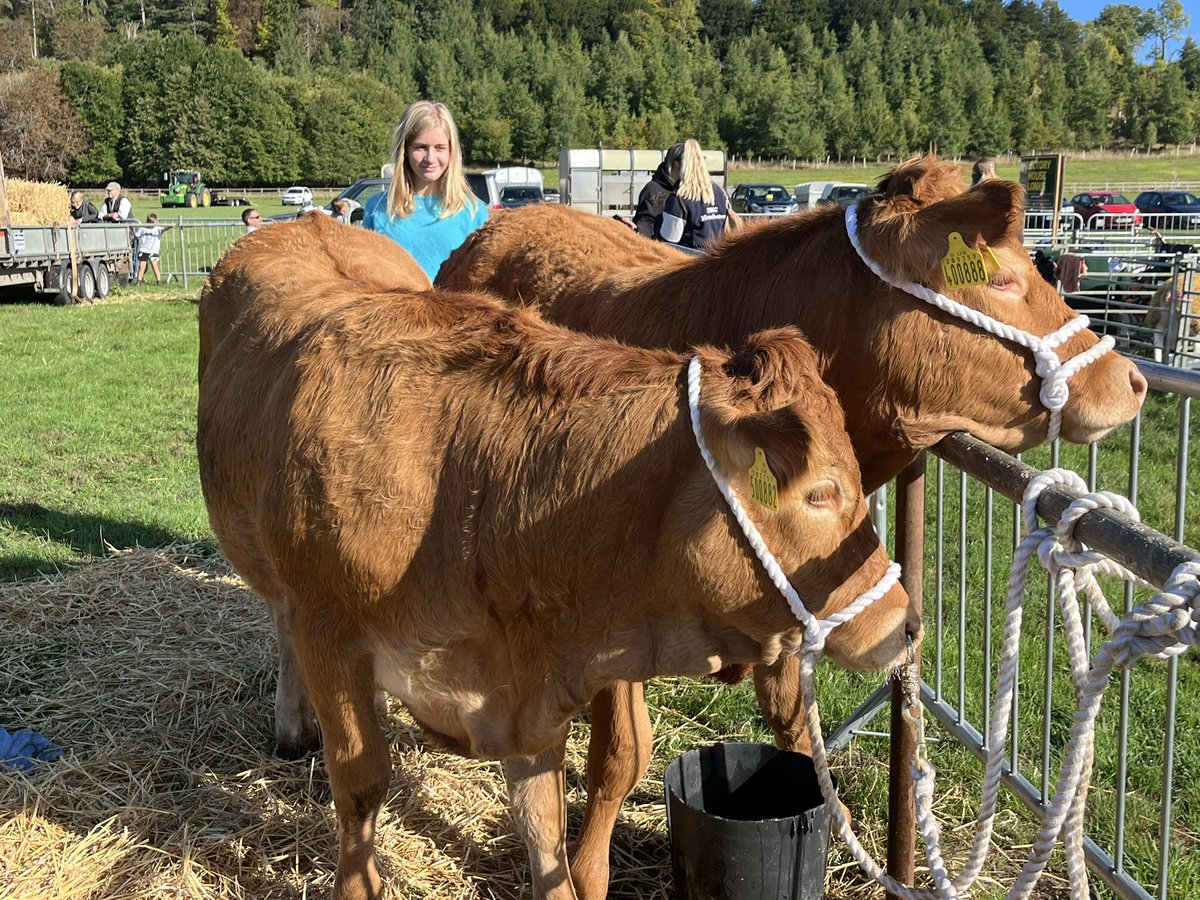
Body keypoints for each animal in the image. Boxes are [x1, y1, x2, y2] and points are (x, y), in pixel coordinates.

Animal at [196, 228, 919, 899]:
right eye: (821, 491)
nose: (908, 625)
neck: (472, 485)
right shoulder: (331, 633)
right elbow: (360, 784)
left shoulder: (528, 684)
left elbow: (543, 826)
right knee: (280, 620)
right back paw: (293, 724)